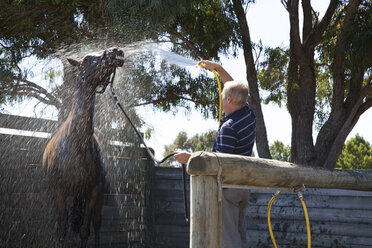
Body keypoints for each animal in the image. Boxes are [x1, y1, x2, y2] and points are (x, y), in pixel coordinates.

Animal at [42, 47, 123, 247]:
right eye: (86, 59)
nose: (116, 51)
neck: (74, 146)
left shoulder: (93, 191)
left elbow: (85, 231)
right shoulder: (58, 191)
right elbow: (62, 229)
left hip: (97, 196)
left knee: (96, 224)